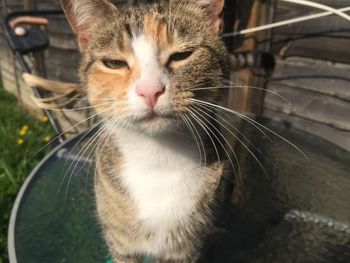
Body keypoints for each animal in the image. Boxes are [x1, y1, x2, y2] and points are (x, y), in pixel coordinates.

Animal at [60, 1, 231, 262]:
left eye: (182, 55)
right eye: (114, 63)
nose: (150, 90)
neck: (158, 157)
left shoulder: (185, 248)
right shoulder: (121, 244)